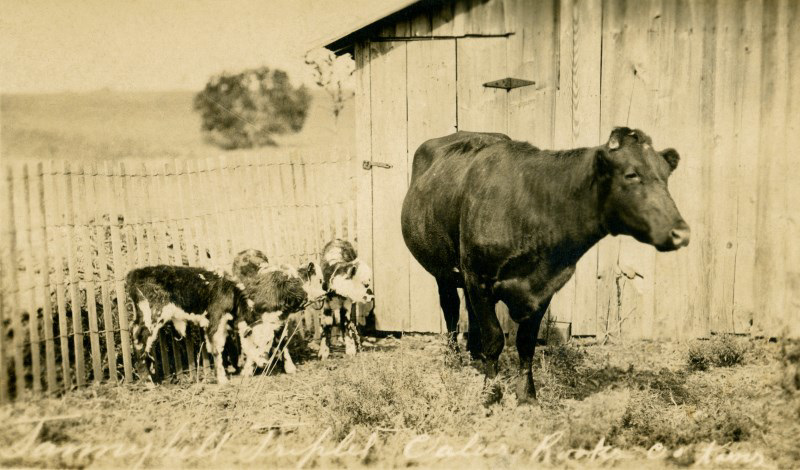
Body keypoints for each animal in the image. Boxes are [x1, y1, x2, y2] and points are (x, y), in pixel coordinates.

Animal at [404, 127, 692, 404]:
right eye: (631, 174)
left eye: (666, 177)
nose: (681, 233)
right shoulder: (479, 277)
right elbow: (495, 338)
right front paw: (490, 393)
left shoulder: (545, 288)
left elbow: (525, 343)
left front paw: (527, 395)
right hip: (442, 269)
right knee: (451, 309)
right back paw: (452, 358)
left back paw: (475, 354)